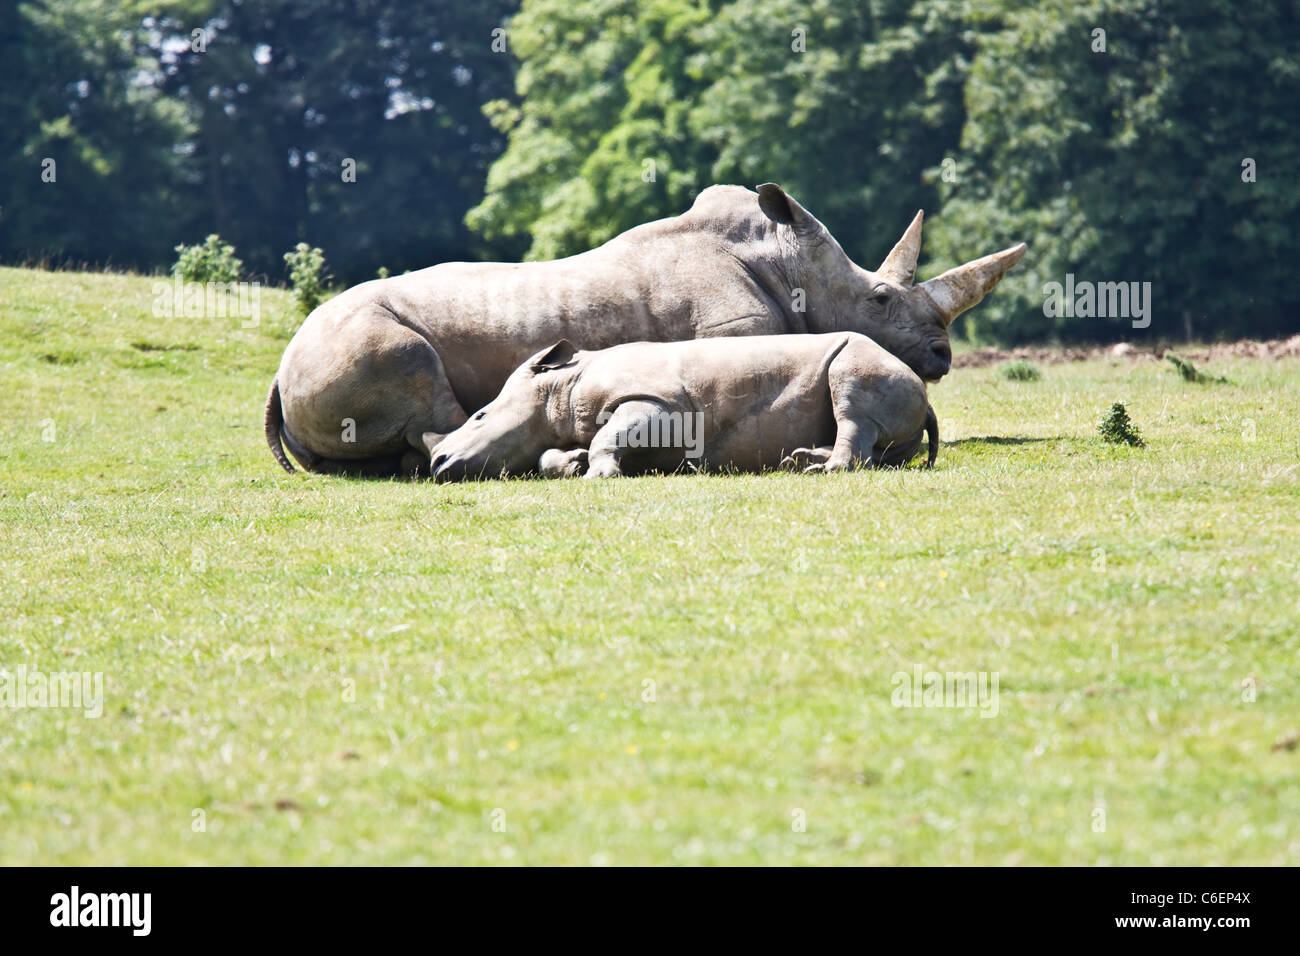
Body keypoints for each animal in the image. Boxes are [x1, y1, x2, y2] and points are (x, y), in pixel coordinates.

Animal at [431, 330, 941, 478]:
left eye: (479, 416)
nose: (436, 463)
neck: (559, 386)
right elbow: (550, 453)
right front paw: (572, 464)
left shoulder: (657, 404)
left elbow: (607, 435)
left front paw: (598, 474)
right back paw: (800, 461)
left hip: (866, 358)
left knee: (852, 405)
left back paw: (820, 471)